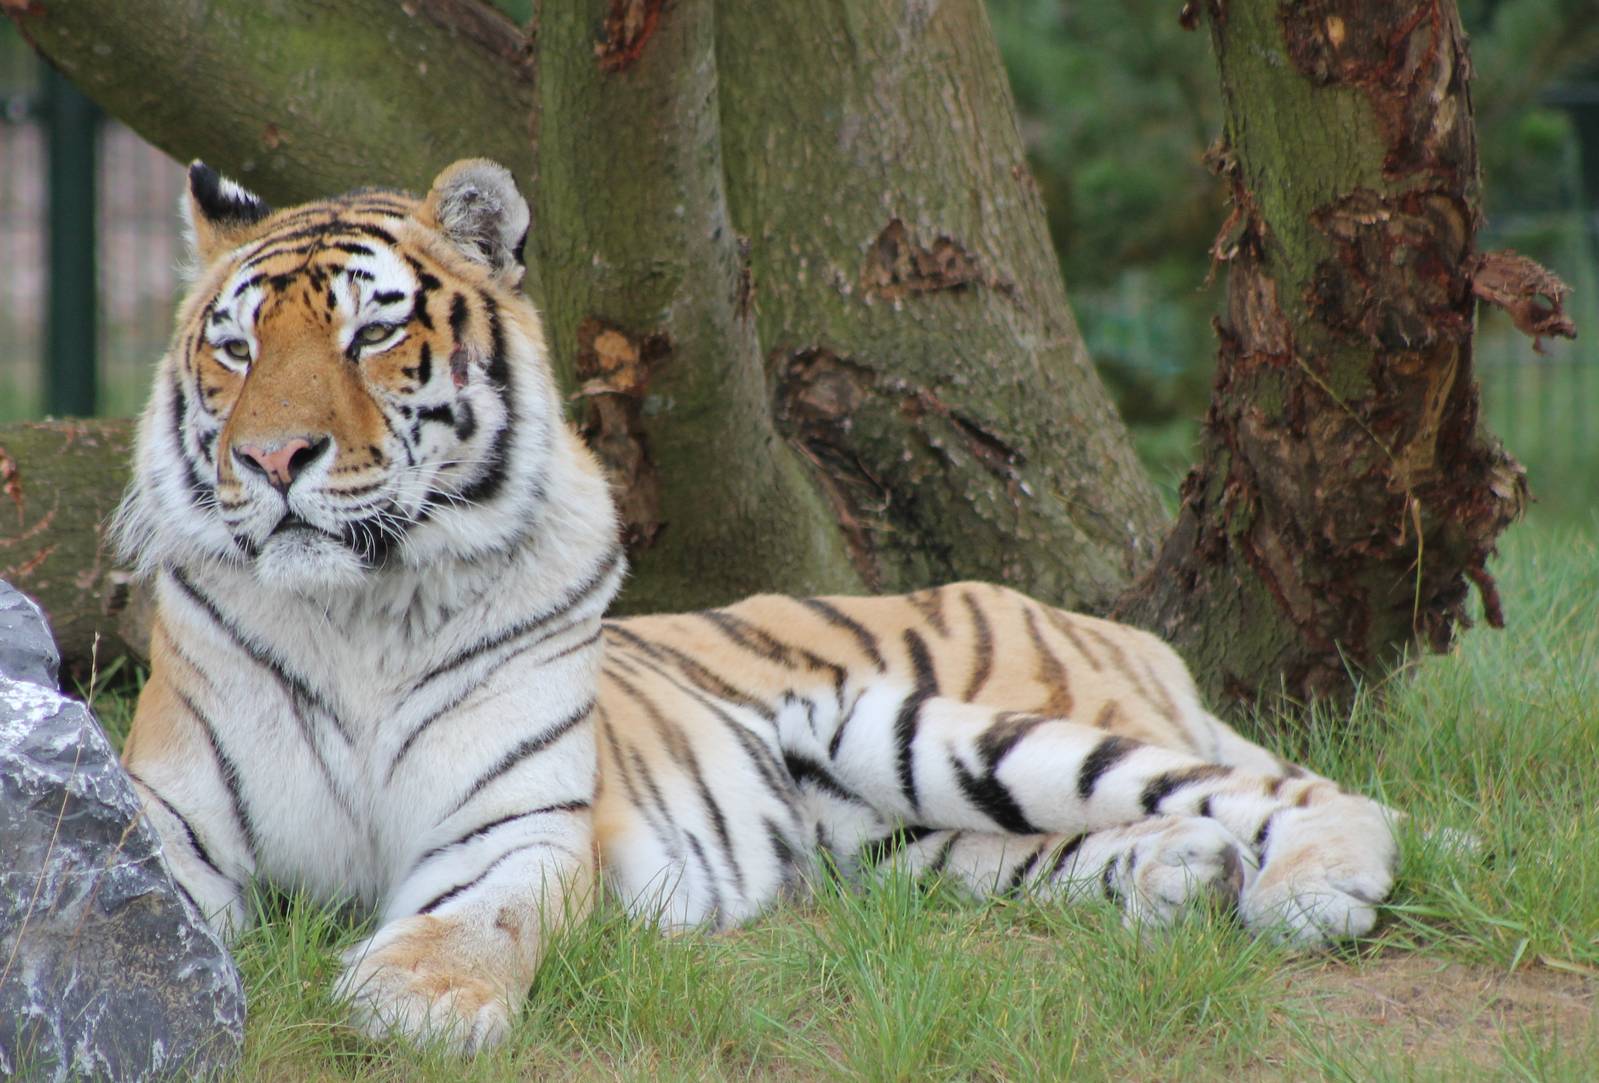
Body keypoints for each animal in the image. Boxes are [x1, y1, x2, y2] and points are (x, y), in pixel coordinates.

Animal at [113, 159, 1399, 1054]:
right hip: (896, 843)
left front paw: (418, 1000)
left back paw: (1314, 887)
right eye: (235, 350)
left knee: (1287, 788)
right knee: (1090, 841)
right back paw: (1182, 878)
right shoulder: (165, 820)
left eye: (372, 332)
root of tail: (1111, 623)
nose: (272, 459)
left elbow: (476, 917)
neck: (358, 614)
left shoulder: (513, 826)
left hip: (925, 726)